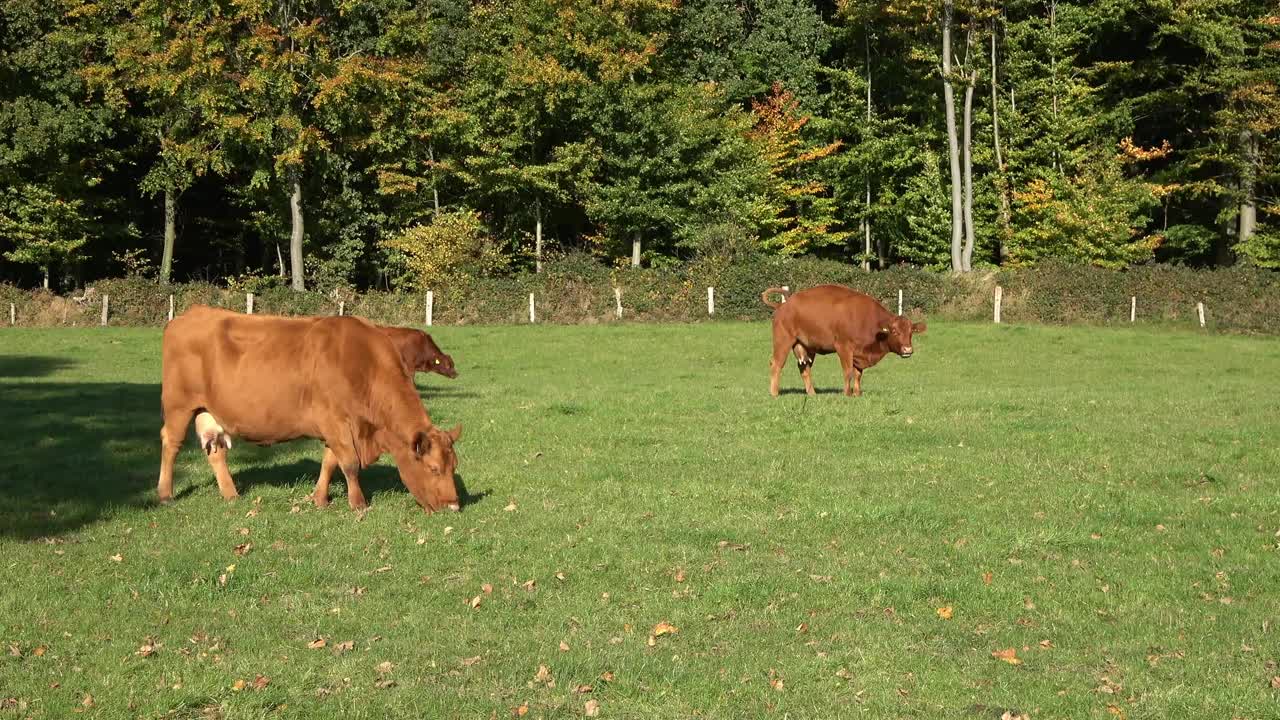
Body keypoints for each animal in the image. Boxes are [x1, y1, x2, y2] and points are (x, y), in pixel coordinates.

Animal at [157, 302, 463, 509]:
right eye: (434, 469)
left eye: (454, 467)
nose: (454, 506)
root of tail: (190, 314)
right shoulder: (334, 420)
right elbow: (350, 463)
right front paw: (358, 503)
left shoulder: (338, 426)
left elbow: (330, 461)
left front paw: (319, 498)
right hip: (178, 405)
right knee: (171, 443)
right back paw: (165, 493)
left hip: (208, 411)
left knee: (216, 451)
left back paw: (231, 494)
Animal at [757, 283, 931, 394]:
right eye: (894, 331)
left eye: (911, 331)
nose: (907, 349)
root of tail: (784, 306)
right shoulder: (844, 348)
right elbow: (848, 372)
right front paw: (846, 394)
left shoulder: (860, 354)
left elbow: (858, 374)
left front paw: (857, 394)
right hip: (783, 341)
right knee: (776, 364)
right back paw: (774, 393)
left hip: (807, 347)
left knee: (804, 369)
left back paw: (812, 394)